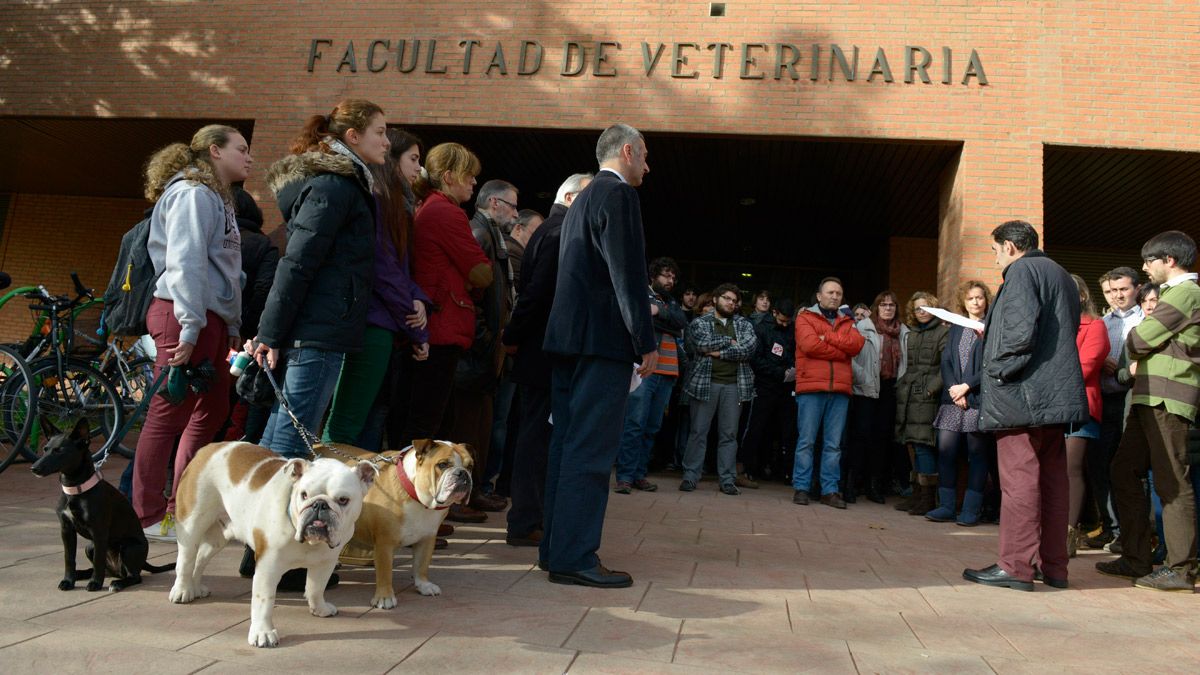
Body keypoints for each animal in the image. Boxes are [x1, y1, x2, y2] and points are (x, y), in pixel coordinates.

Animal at [31, 415, 172, 588]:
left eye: (59, 451)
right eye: (45, 449)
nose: (34, 468)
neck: (76, 490)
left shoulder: (99, 531)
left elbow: (98, 559)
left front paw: (95, 584)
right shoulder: (66, 530)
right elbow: (69, 558)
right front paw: (68, 581)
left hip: (128, 548)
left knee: (134, 576)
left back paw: (117, 583)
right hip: (89, 547)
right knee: (106, 570)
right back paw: (82, 574)